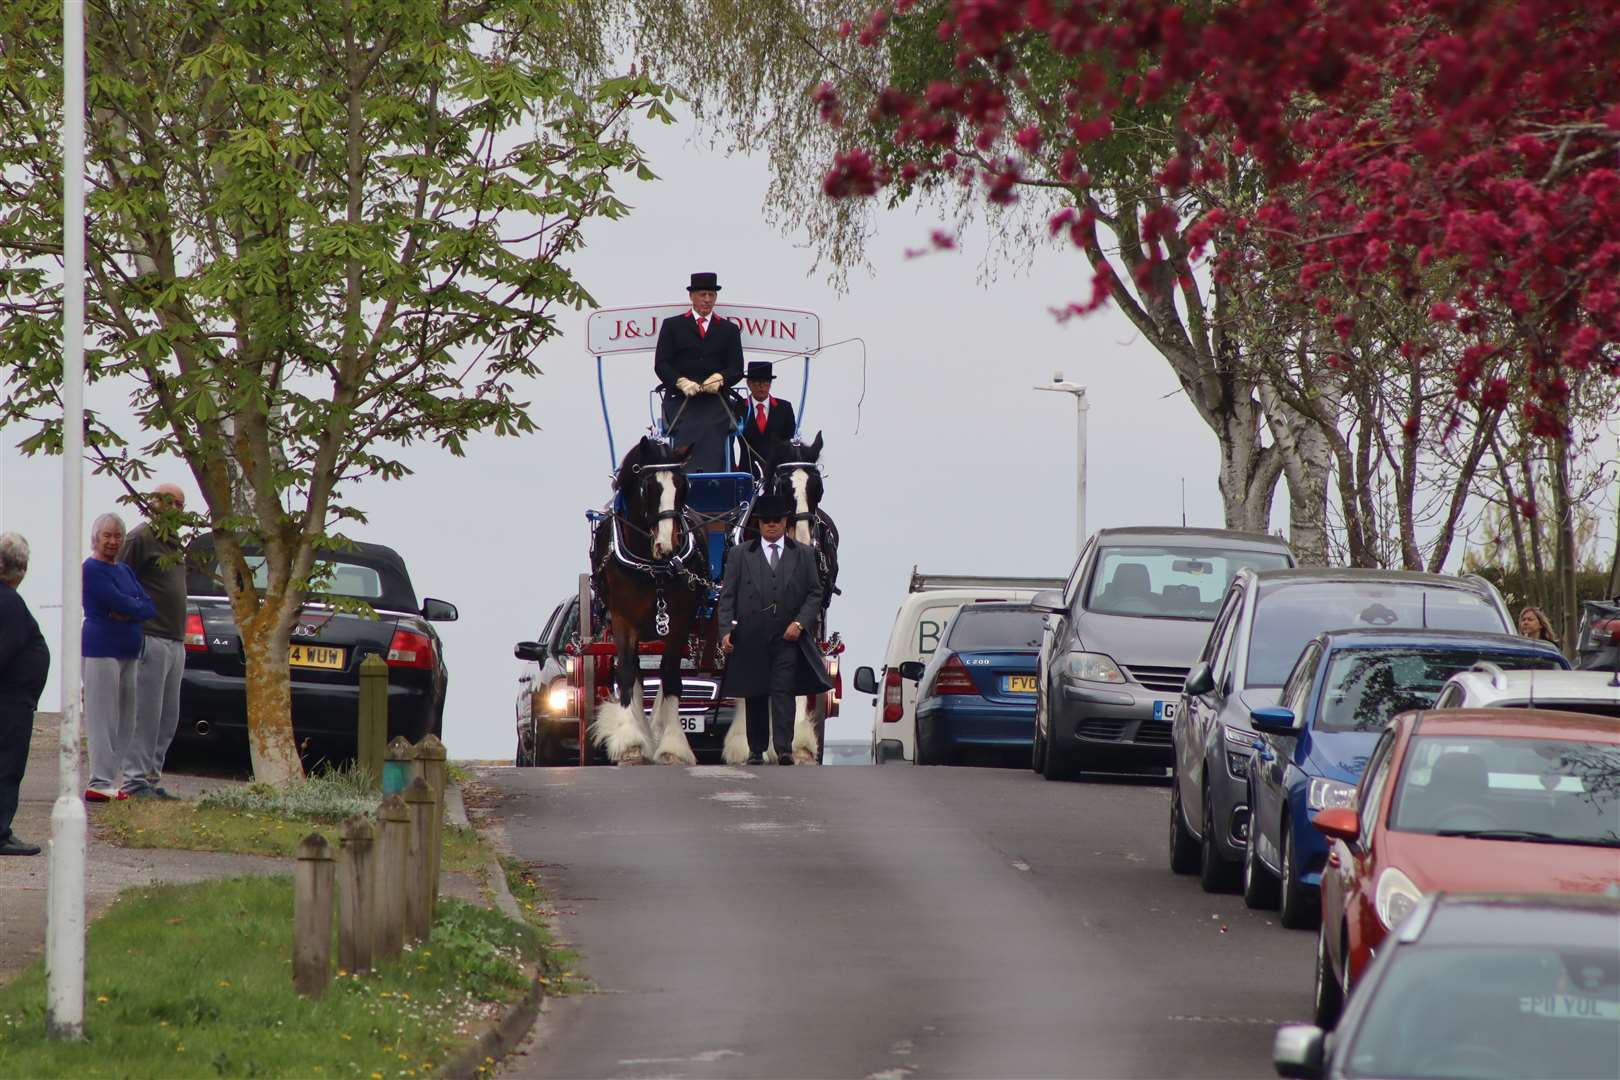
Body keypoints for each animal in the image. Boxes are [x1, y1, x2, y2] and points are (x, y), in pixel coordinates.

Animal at [586, 433, 706, 764]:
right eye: (647, 488)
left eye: (684, 486)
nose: (669, 545)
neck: (654, 567)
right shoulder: (623, 619)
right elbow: (627, 673)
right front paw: (630, 742)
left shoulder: (680, 618)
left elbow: (671, 676)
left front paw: (673, 745)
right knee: (637, 673)